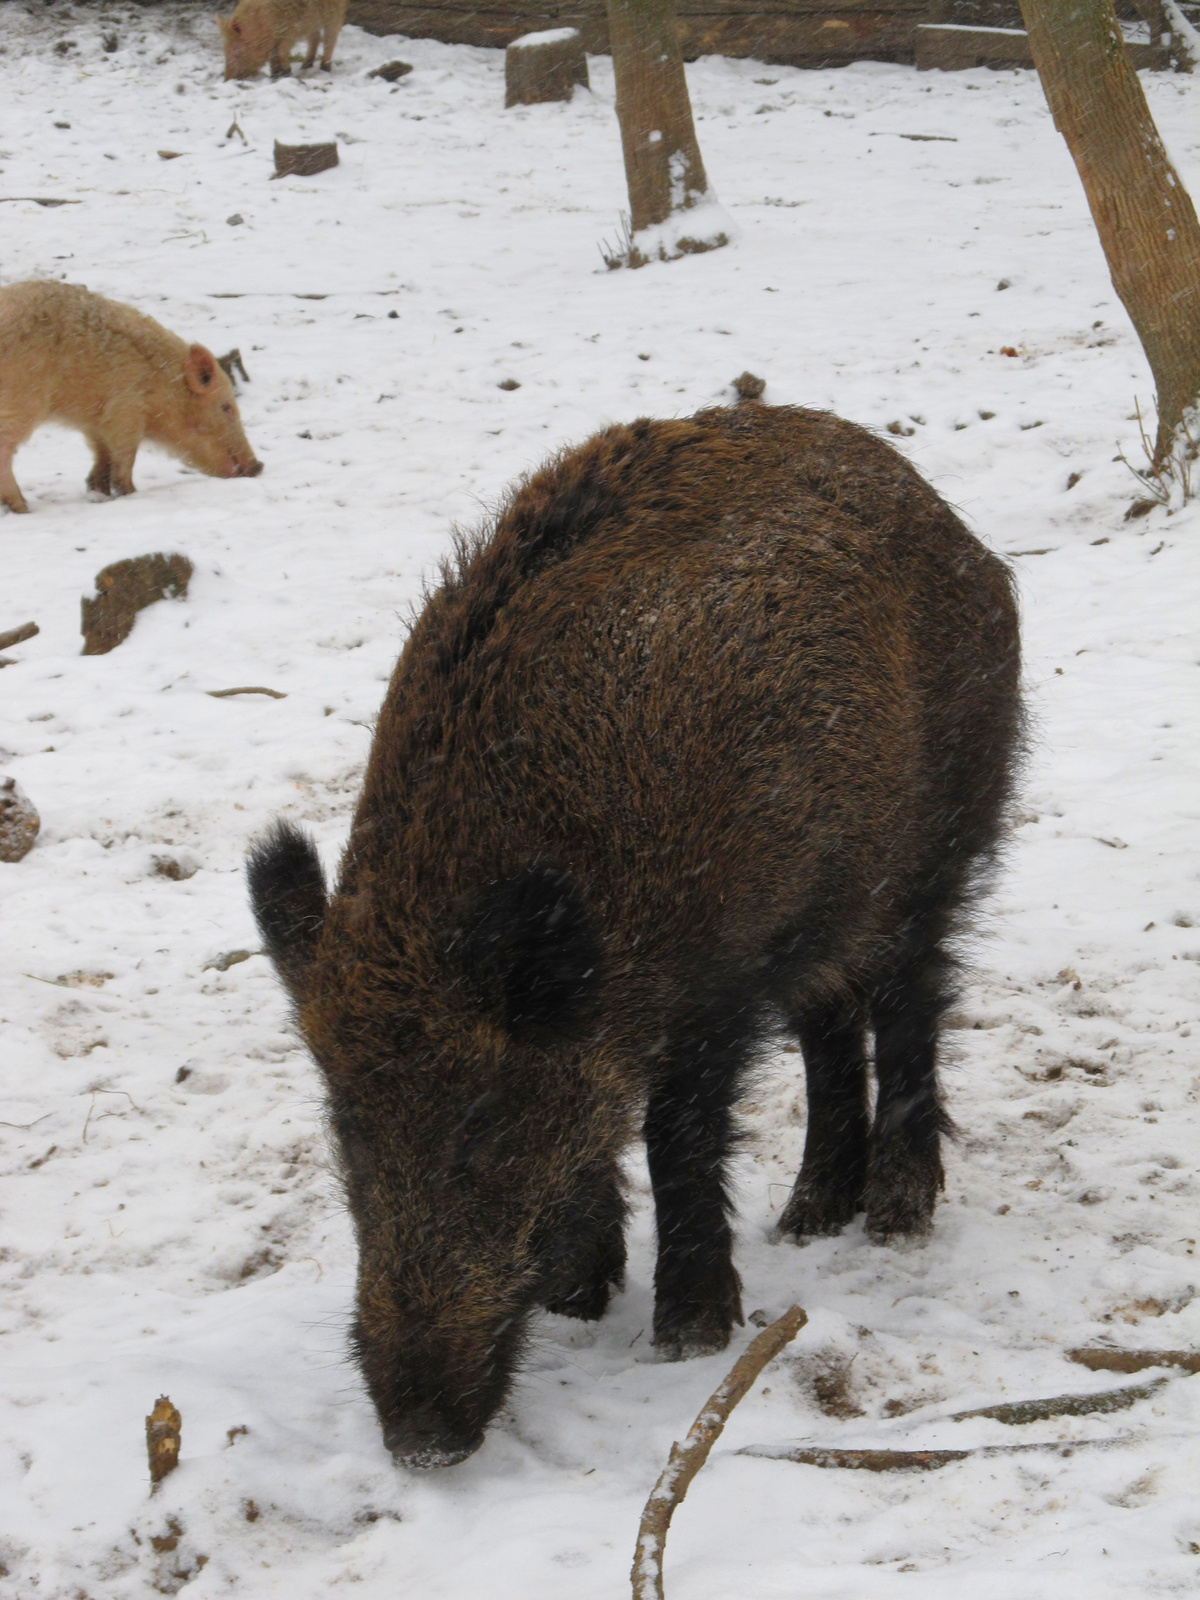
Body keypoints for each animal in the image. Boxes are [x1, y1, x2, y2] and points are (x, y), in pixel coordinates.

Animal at [0, 281, 262, 515]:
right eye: (226, 407)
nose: (258, 466)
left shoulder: (96, 419)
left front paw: (98, 492)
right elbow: (125, 455)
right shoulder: (126, 409)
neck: (162, 383)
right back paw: (23, 508)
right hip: (22, 403)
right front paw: (130, 493)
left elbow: (102, 455)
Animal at [219, 0, 347, 79]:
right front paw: (275, 75)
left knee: (330, 37)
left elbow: (281, 50)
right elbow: (273, 54)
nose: (227, 79)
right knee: (315, 37)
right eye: (224, 50)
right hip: (313, 19)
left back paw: (325, 68)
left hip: (334, 11)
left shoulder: (292, 29)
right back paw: (305, 66)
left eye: (236, 51)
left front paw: (286, 72)